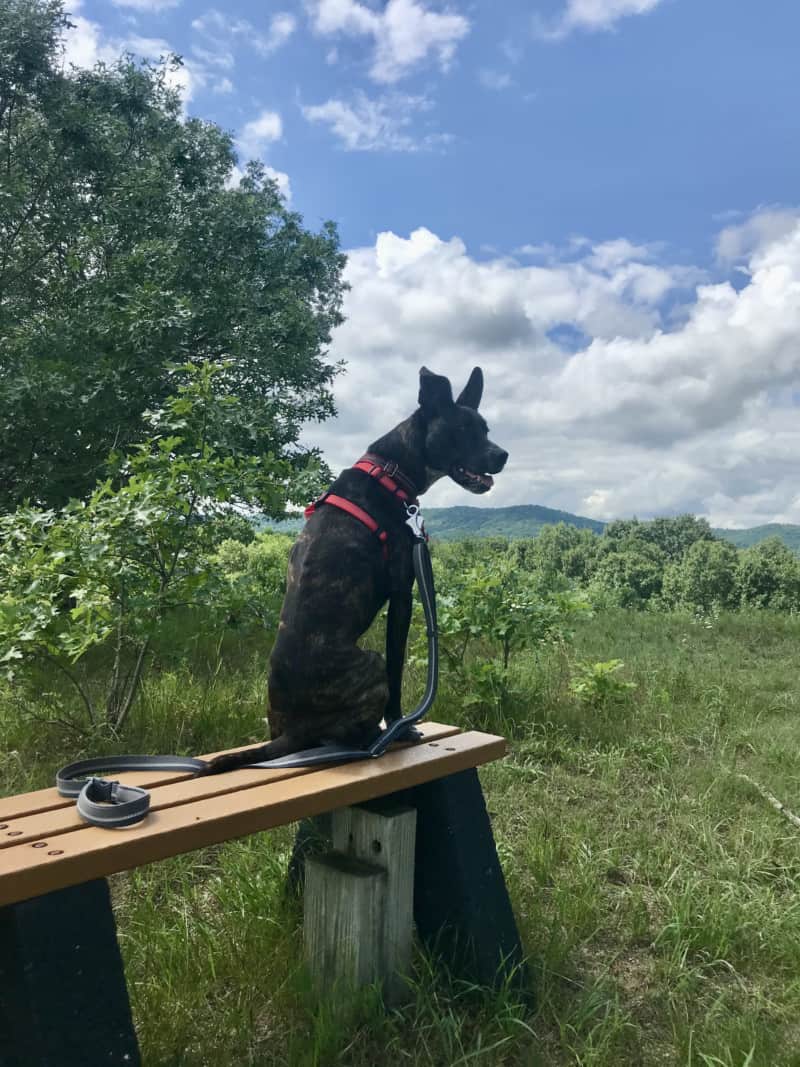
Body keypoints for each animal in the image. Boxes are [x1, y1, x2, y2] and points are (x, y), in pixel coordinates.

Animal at [204, 367, 507, 776]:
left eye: (485, 429)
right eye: (462, 430)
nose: (503, 455)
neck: (391, 470)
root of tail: (293, 734)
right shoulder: (402, 593)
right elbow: (397, 670)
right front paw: (402, 725)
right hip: (370, 661)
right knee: (351, 727)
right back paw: (376, 735)